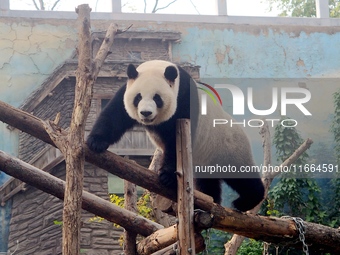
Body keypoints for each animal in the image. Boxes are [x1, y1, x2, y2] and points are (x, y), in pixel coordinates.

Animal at [86, 59, 264, 211]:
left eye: (157, 98)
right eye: (138, 97)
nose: (145, 113)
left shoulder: (184, 99)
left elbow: (175, 142)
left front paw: (166, 176)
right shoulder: (125, 91)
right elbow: (114, 116)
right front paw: (96, 142)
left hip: (228, 146)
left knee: (240, 174)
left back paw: (245, 201)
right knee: (206, 180)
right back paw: (208, 201)